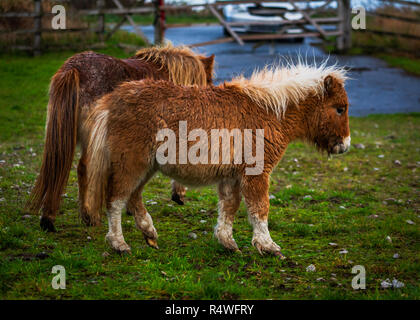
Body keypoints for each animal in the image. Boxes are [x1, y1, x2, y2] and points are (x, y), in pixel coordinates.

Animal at [83, 62, 350, 258]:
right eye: (339, 108)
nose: (345, 145)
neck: (268, 111)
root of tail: (113, 99)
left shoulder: (231, 176)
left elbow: (229, 207)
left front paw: (227, 242)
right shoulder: (256, 172)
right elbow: (259, 208)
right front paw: (268, 246)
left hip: (146, 167)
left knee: (133, 197)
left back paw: (149, 233)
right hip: (131, 164)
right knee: (116, 199)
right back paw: (119, 243)